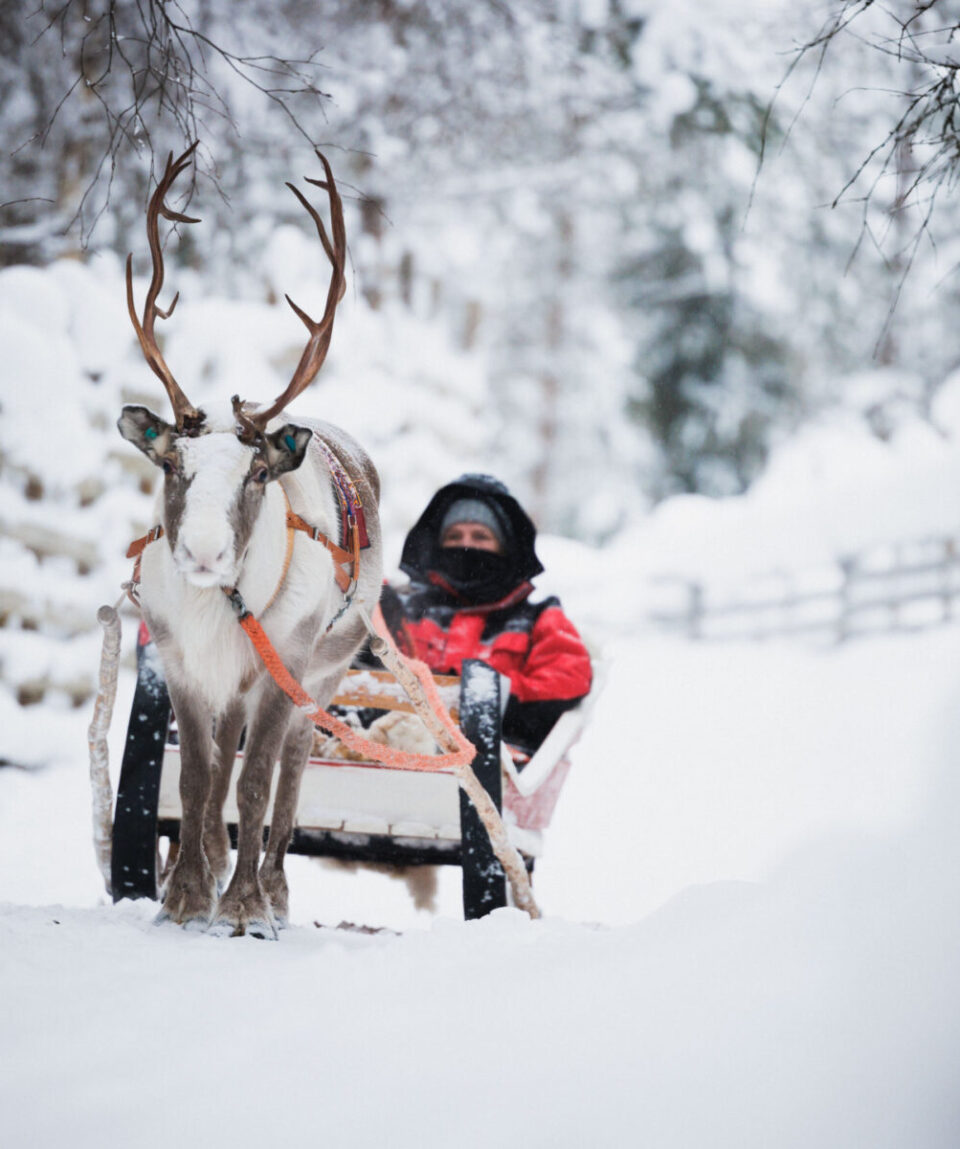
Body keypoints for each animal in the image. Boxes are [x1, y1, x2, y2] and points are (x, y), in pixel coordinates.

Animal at [118, 144, 382, 938]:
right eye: (171, 463)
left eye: (259, 472)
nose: (203, 554)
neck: (217, 607)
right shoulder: (181, 662)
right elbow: (197, 777)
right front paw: (184, 896)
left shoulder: (282, 663)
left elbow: (257, 781)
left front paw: (242, 908)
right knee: (218, 774)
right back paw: (203, 866)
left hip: (323, 676)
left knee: (291, 772)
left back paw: (274, 890)